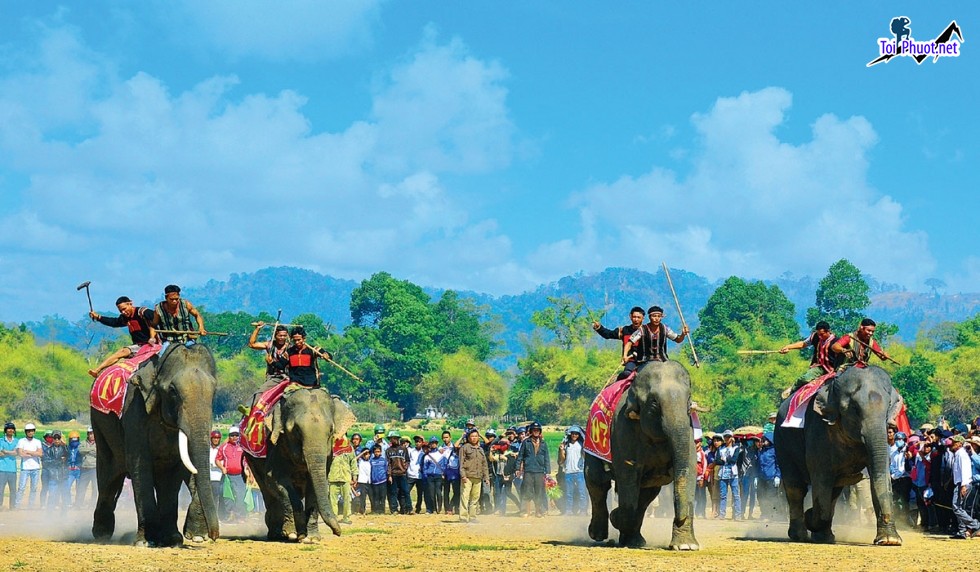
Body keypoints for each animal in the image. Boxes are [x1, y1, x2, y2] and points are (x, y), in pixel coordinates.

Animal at [91, 342, 219, 548]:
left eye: (214, 392)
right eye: (173, 391)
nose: (215, 536)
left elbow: (174, 472)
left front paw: (173, 540)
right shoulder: (134, 409)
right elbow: (140, 466)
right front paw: (146, 542)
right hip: (100, 428)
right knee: (108, 477)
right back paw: (102, 534)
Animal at [245, 384, 356, 540]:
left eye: (331, 430)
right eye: (296, 430)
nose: (338, 532)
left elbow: (315, 487)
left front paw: (311, 538)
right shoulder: (276, 446)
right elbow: (275, 481)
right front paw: (292, 533)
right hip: (251, 458)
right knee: (267, 491)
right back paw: (277, 533)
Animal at [584, 362, 700, 548]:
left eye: (689, 401)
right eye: (654, 403)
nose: (679, 517)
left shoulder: (689, 430)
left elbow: (689, 470)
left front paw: (686, 546)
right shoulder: (622, 428)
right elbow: (628, 473)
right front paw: (616, 517)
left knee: (646, 494)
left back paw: (634, 541)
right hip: (591, 439)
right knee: (597, 481)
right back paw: (599, 534)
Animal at [776, 364, 908, 548]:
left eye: (889, 406)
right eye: (854, 408)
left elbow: (880, 475)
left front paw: (889, 541)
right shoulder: (818, 431)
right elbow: (821, 478)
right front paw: (810, 516)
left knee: (834, 490)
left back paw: (824, 537)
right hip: (782, 442)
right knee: (795, 487)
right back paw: (800, 535)